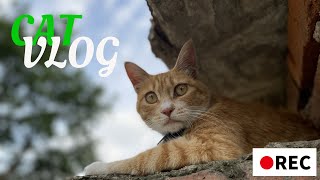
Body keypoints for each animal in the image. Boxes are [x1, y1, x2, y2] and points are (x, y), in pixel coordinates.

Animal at [83, 39, 320, 176]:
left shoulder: (216, 146)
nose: (167, 110)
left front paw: (97, 166)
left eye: (180, 89)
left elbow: (146, 157)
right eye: (151, 97)